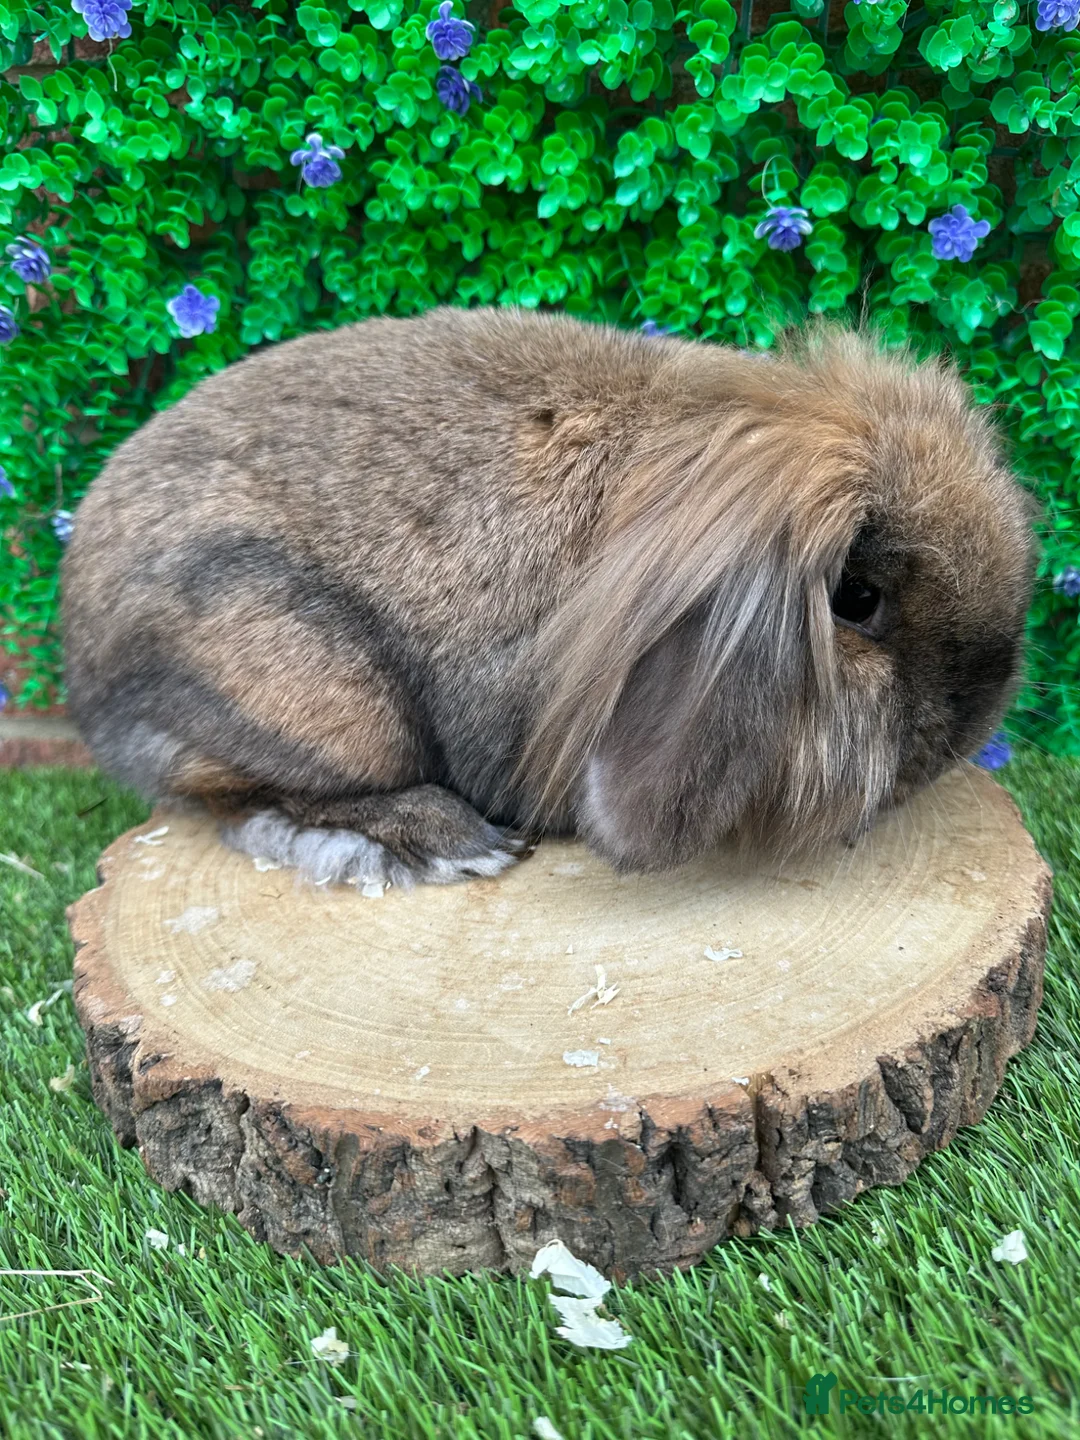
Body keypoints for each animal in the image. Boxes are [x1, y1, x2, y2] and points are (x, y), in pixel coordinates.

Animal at [61, 307, 1038, 889]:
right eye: (857, 598)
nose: (963, 735)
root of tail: (83, 656)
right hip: (323, 698)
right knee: (233, 797)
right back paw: (442, 842)